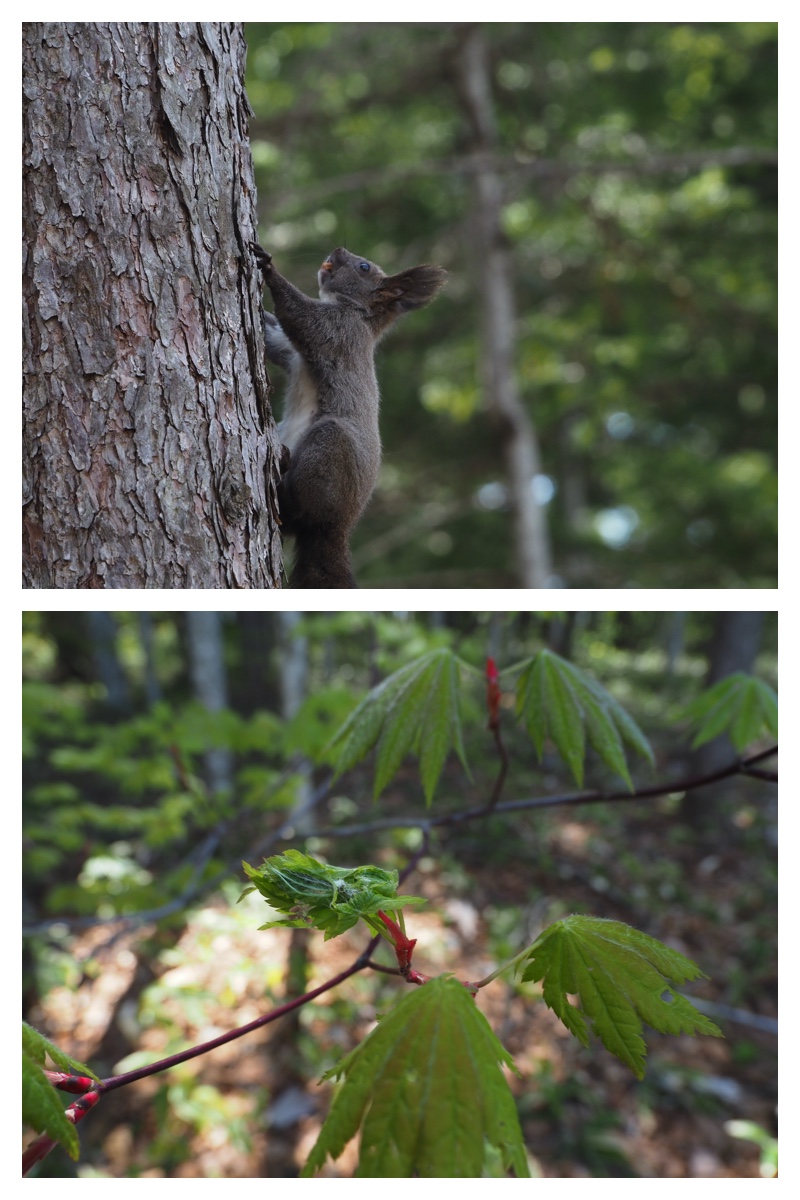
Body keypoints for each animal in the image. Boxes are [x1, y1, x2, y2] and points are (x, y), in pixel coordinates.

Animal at [251, 241, 443, 588]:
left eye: (364, 267)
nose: (337, 249)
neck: (358, 314)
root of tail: (339, 528)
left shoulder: (336, 331)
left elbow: (299, 315)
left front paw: (268, 267)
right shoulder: (288, 348)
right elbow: (273, 335)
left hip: (329, 448)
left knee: (300, 510)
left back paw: (283, 482)